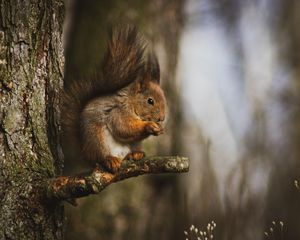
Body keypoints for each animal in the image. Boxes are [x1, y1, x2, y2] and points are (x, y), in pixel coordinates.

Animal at [62, 25, 166, 172]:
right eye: (150, 101)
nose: (162, 118)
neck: (131, 102)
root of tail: (85, 152)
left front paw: (160, 128)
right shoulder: (118, 112)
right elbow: (123, 127)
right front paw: (149, 125)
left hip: (133, 144)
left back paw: (135, 154)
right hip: (97, 139)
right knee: (100, 157)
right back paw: (110, 160)